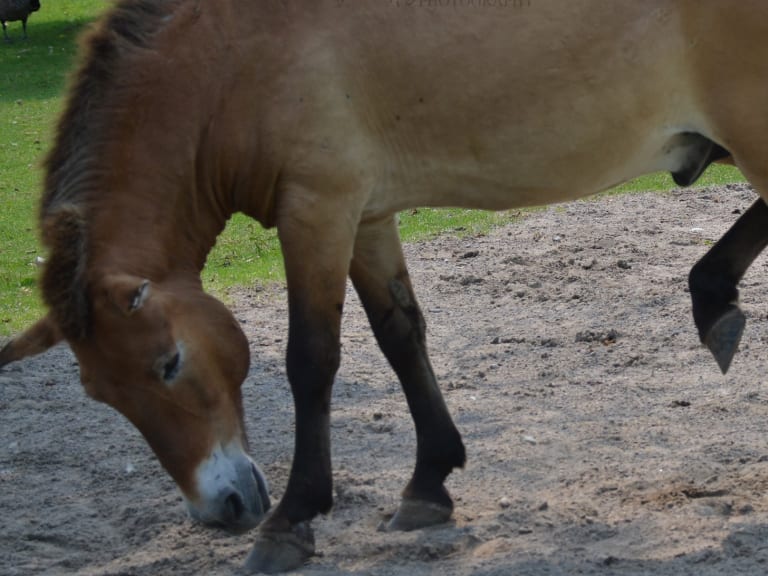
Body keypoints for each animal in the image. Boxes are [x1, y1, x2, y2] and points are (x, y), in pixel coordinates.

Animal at [2, 0, 768, 572]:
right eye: (101, 394)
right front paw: (430, 482)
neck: (234, 53)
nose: (221, 511)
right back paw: (712, 295)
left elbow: (312, 361)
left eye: (169, 364)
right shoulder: (366, 217)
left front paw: (291, 522)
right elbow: (401, 334)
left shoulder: (318, 209)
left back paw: (712, 294)